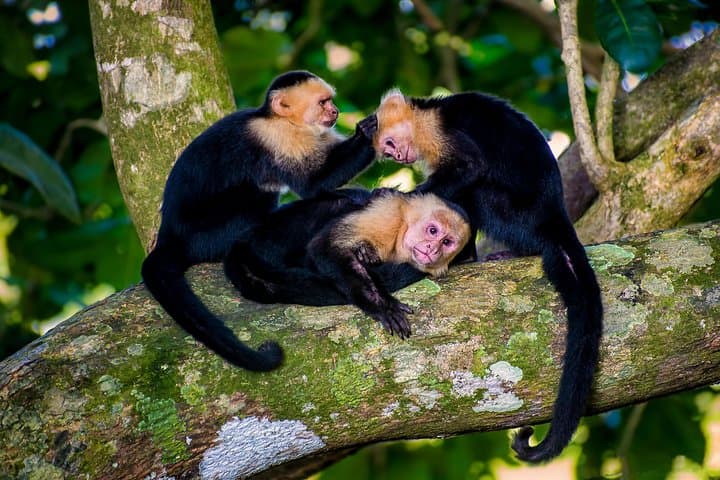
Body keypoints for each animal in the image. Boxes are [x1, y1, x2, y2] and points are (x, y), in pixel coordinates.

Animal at [141, 71, 377, 372]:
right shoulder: (276, 138)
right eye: (323, 102)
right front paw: (369, 131)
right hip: (208, 236)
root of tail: (168, 237)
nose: (335, 112)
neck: (281, 120)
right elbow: (314, 183)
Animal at [224, 188, 471, 339]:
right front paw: (381, 305)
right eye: (433, 231)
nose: (432, 249)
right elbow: (324, 246)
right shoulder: (389, 214)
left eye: (447, 242)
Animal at [371, 89, 603, 463]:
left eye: (391, 143)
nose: (399, 156)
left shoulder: (437, 131)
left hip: (515, 215)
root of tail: (556, 215)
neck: (424, 116)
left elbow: (470, 167)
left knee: (475, 193)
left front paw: (401, 196)